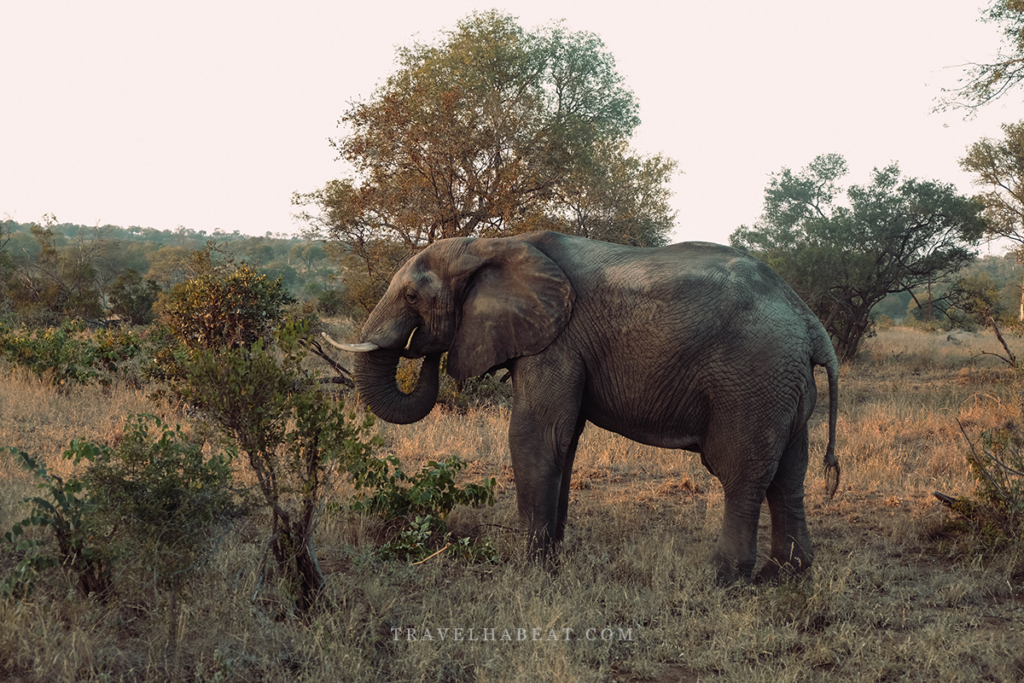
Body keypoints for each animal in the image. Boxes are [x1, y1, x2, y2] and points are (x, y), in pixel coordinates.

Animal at [329, 231, 839, 583]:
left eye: (412, 296)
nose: (425, 348)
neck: (493, 244)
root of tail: (809, 322)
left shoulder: (557, 342)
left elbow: (536, 435)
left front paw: (530, 568)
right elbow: (565, 440)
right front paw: (552, 557)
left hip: (753, 380)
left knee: (741, 474)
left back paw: (722, 578)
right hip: (785, 385)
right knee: (789, 475)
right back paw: (785, 576)